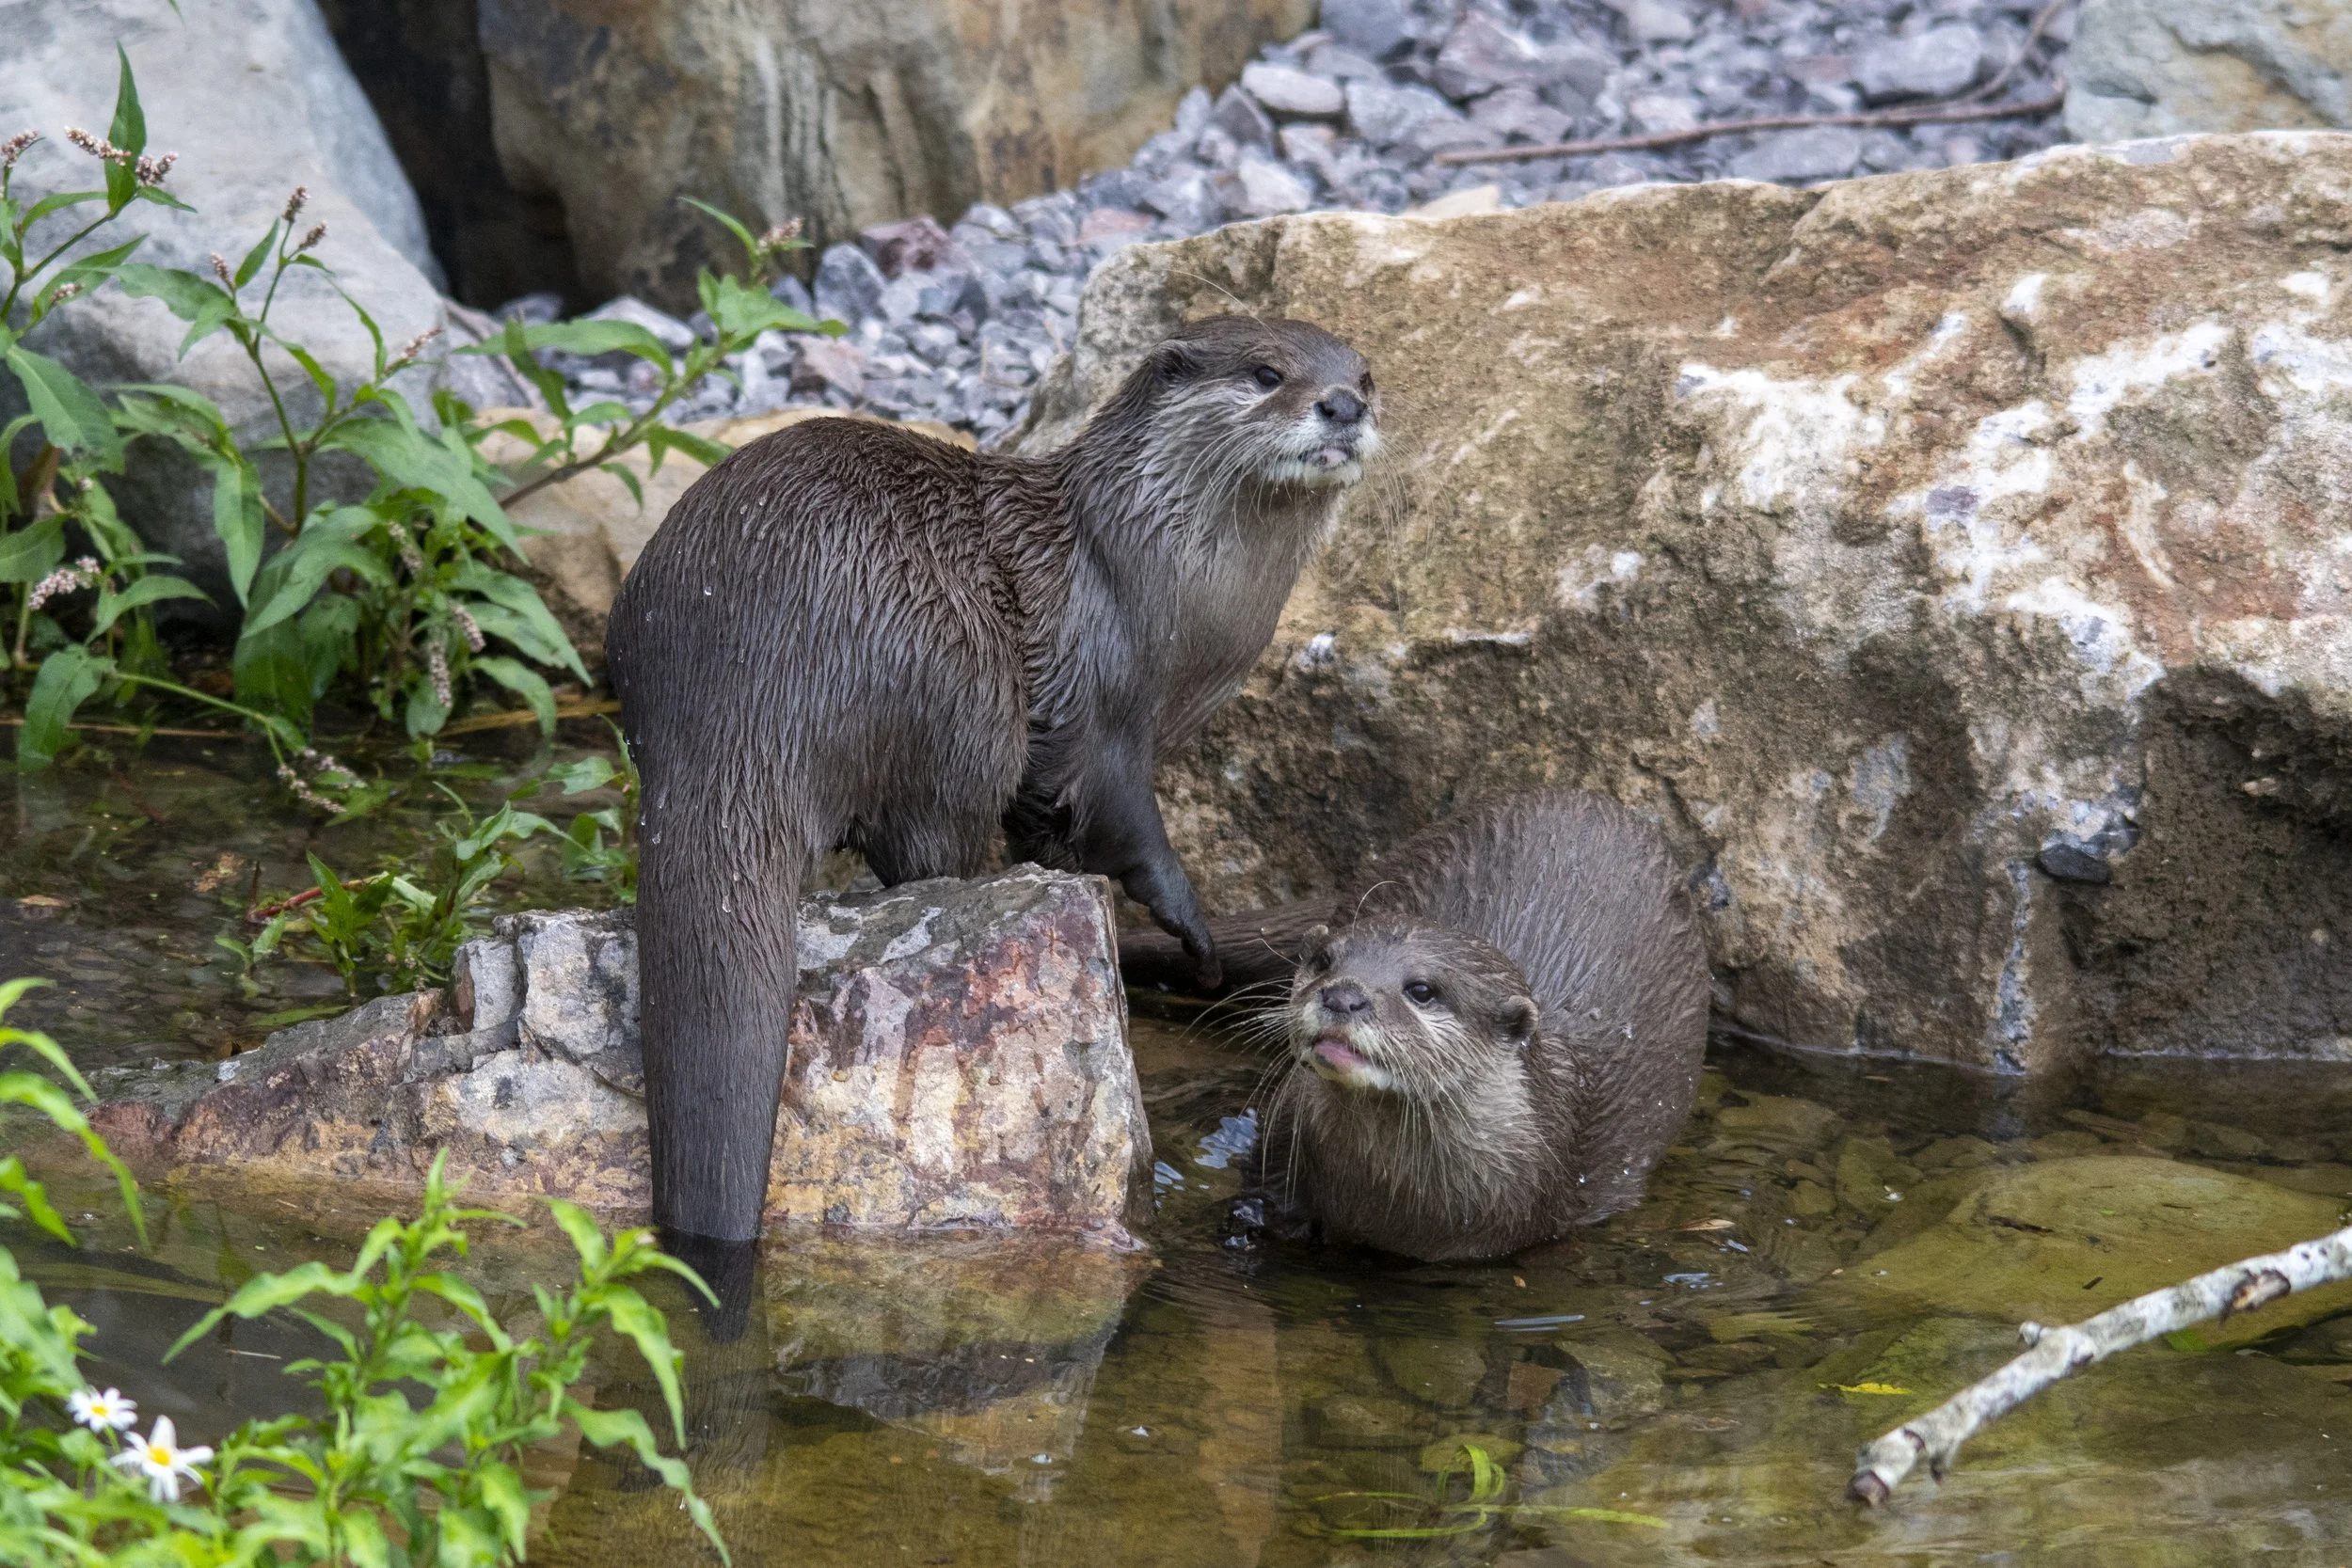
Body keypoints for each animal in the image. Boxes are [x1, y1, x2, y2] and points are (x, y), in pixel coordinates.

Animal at [606, 316, 1379, 1243]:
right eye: (1268, 373)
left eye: (1366, 376)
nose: (1342, 405)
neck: (1158, 584)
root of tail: (734, 701)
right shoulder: (1103, 708)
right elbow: (1129, 827)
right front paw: (1195, 939)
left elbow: (1053, 826)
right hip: (960, 677)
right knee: (927, 842)